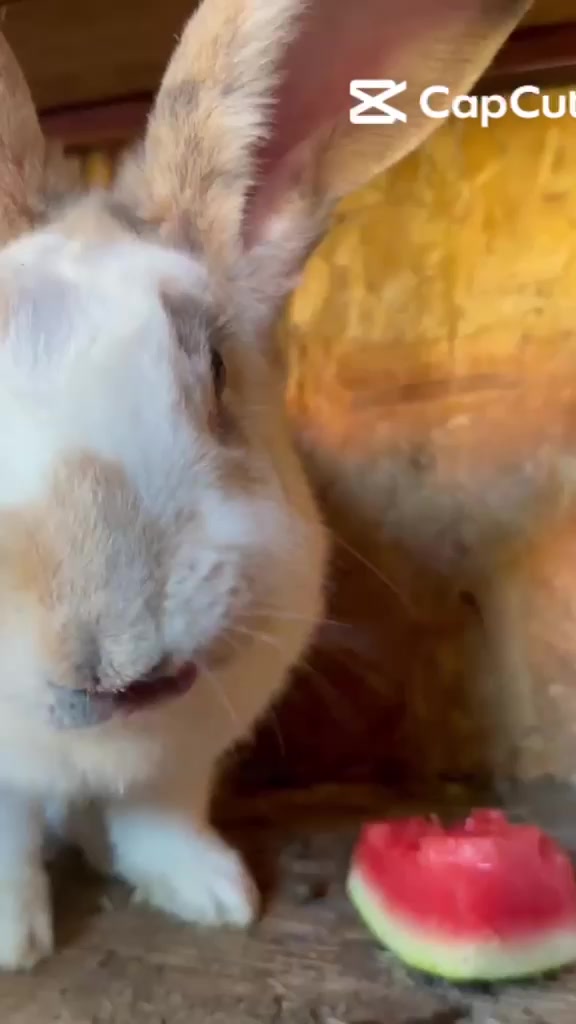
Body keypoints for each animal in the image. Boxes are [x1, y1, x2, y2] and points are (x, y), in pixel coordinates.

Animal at [0, 0, 529, 970]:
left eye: (213, 367)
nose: (110, 655)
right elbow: (7, 839)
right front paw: (14, 946)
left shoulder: (183, 758)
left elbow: (160, 816)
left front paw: (214, 896)